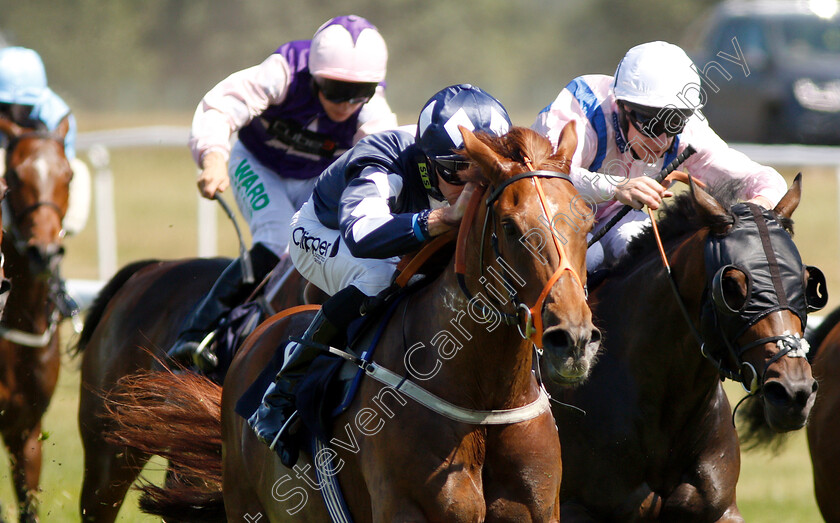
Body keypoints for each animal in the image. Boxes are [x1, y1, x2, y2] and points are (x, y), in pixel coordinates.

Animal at [106, 124, 604, 523]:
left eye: (585, 219)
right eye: (512, 227)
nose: (573, 340)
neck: (484, 399)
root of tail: (257, 336)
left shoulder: (539, 509)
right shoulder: (411, 509)